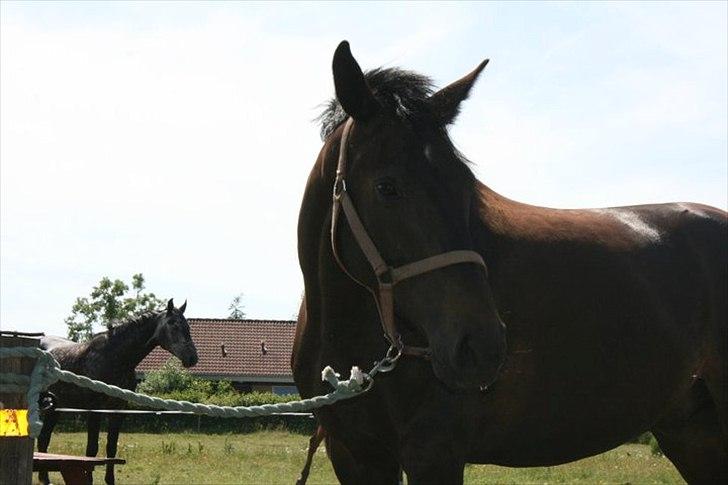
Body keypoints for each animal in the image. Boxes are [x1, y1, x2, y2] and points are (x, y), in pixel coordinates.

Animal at [36, 298, 196, 484]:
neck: (114, 358)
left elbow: (111, 448)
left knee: (44, 438)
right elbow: (91, 450)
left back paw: (45, 479)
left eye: (187, 326)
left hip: (55, 407)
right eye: (173, 324)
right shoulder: (95, 409)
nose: (192, 358)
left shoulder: (118, 408)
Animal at [292, 39, 728, 482]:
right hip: (693, 433)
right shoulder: (354, 454)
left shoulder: (434, 452)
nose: (482, 346)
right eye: (387, 187)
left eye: (466, 186)